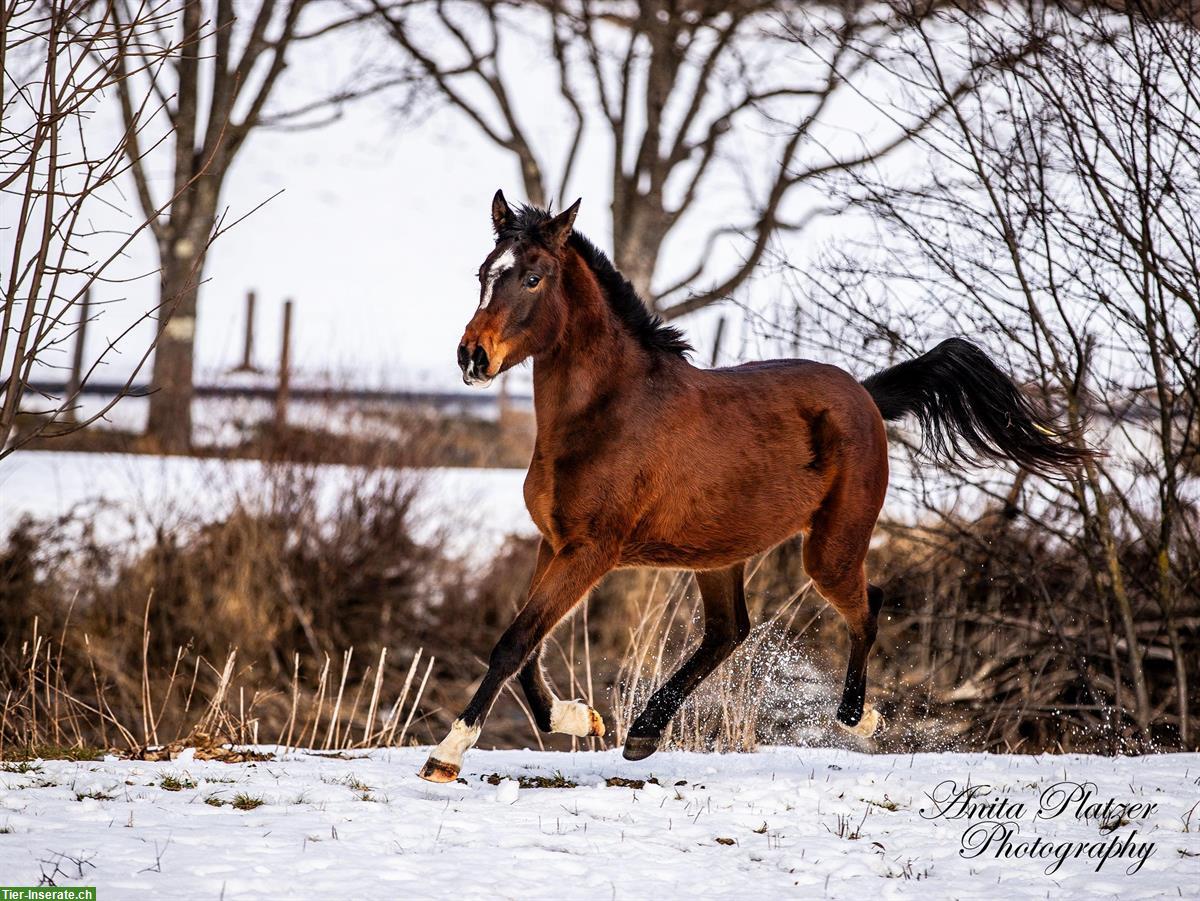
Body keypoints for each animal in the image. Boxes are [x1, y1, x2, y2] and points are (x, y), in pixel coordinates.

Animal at [417, 191, 1094, 782]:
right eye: (485, 273)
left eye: (532, 278)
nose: (472, 357)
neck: (609, 411)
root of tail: (865, 396)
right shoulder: (552, 542)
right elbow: (526, 647)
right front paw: (581, 719)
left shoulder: (590, 551)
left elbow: (514, 643)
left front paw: (446, 756)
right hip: (717, 552)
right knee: (729, 631)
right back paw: (643, 733)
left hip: (829, 547)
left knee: (866, 604)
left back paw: (857, 718)